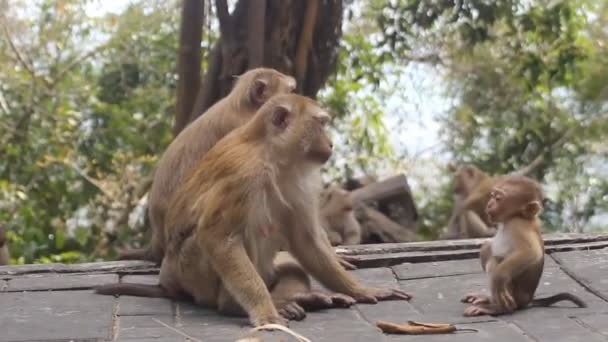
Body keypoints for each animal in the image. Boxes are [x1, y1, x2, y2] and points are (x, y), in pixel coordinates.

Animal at [98, 93, 414, 326]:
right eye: (320, 124)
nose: (330, 143)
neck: (271, 153)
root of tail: (171, 284)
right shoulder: (244, 175)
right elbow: (219, 238)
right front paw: (266, 312)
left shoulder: (297, 180)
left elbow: (305, 241)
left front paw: (360, 290)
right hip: (194, 275)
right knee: (223, 237)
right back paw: (240, 306)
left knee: (291, 267)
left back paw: (299, 299)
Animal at [464, 175, 588, 316]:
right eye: (492, 195)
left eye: (498, 198)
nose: (489, 204)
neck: (513, 217)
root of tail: (528, 301)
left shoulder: (519, 225)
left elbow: (530, 252)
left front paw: (499, 278)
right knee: (487, 247)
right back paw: (488, 298)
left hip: (515, 297)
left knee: (495, 261)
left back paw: (498, 308)